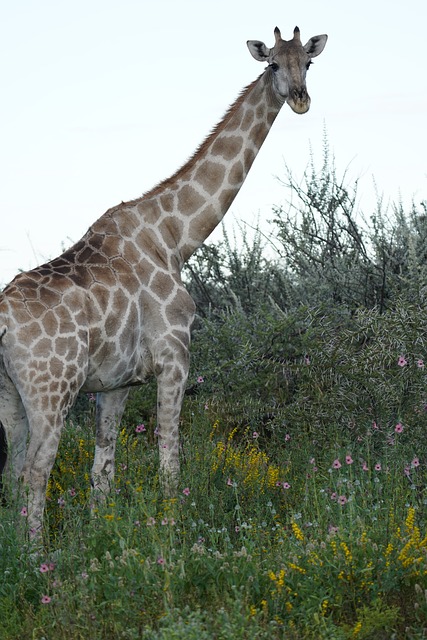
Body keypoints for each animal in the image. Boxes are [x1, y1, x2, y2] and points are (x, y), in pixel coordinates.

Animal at [0, 26, 327, 534]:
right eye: (273, 62)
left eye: (308, 64)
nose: (300, 99)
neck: (174, 236)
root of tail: (2, 321)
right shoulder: (175, 357)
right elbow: (170, 457)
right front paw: (171, 536)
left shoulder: (115, 382)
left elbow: (103, 468)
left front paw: (103, 535)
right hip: (51, 392)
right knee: (35, 470)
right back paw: (37, 552)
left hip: (10, 397)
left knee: (12, 469)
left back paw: (18, 549)